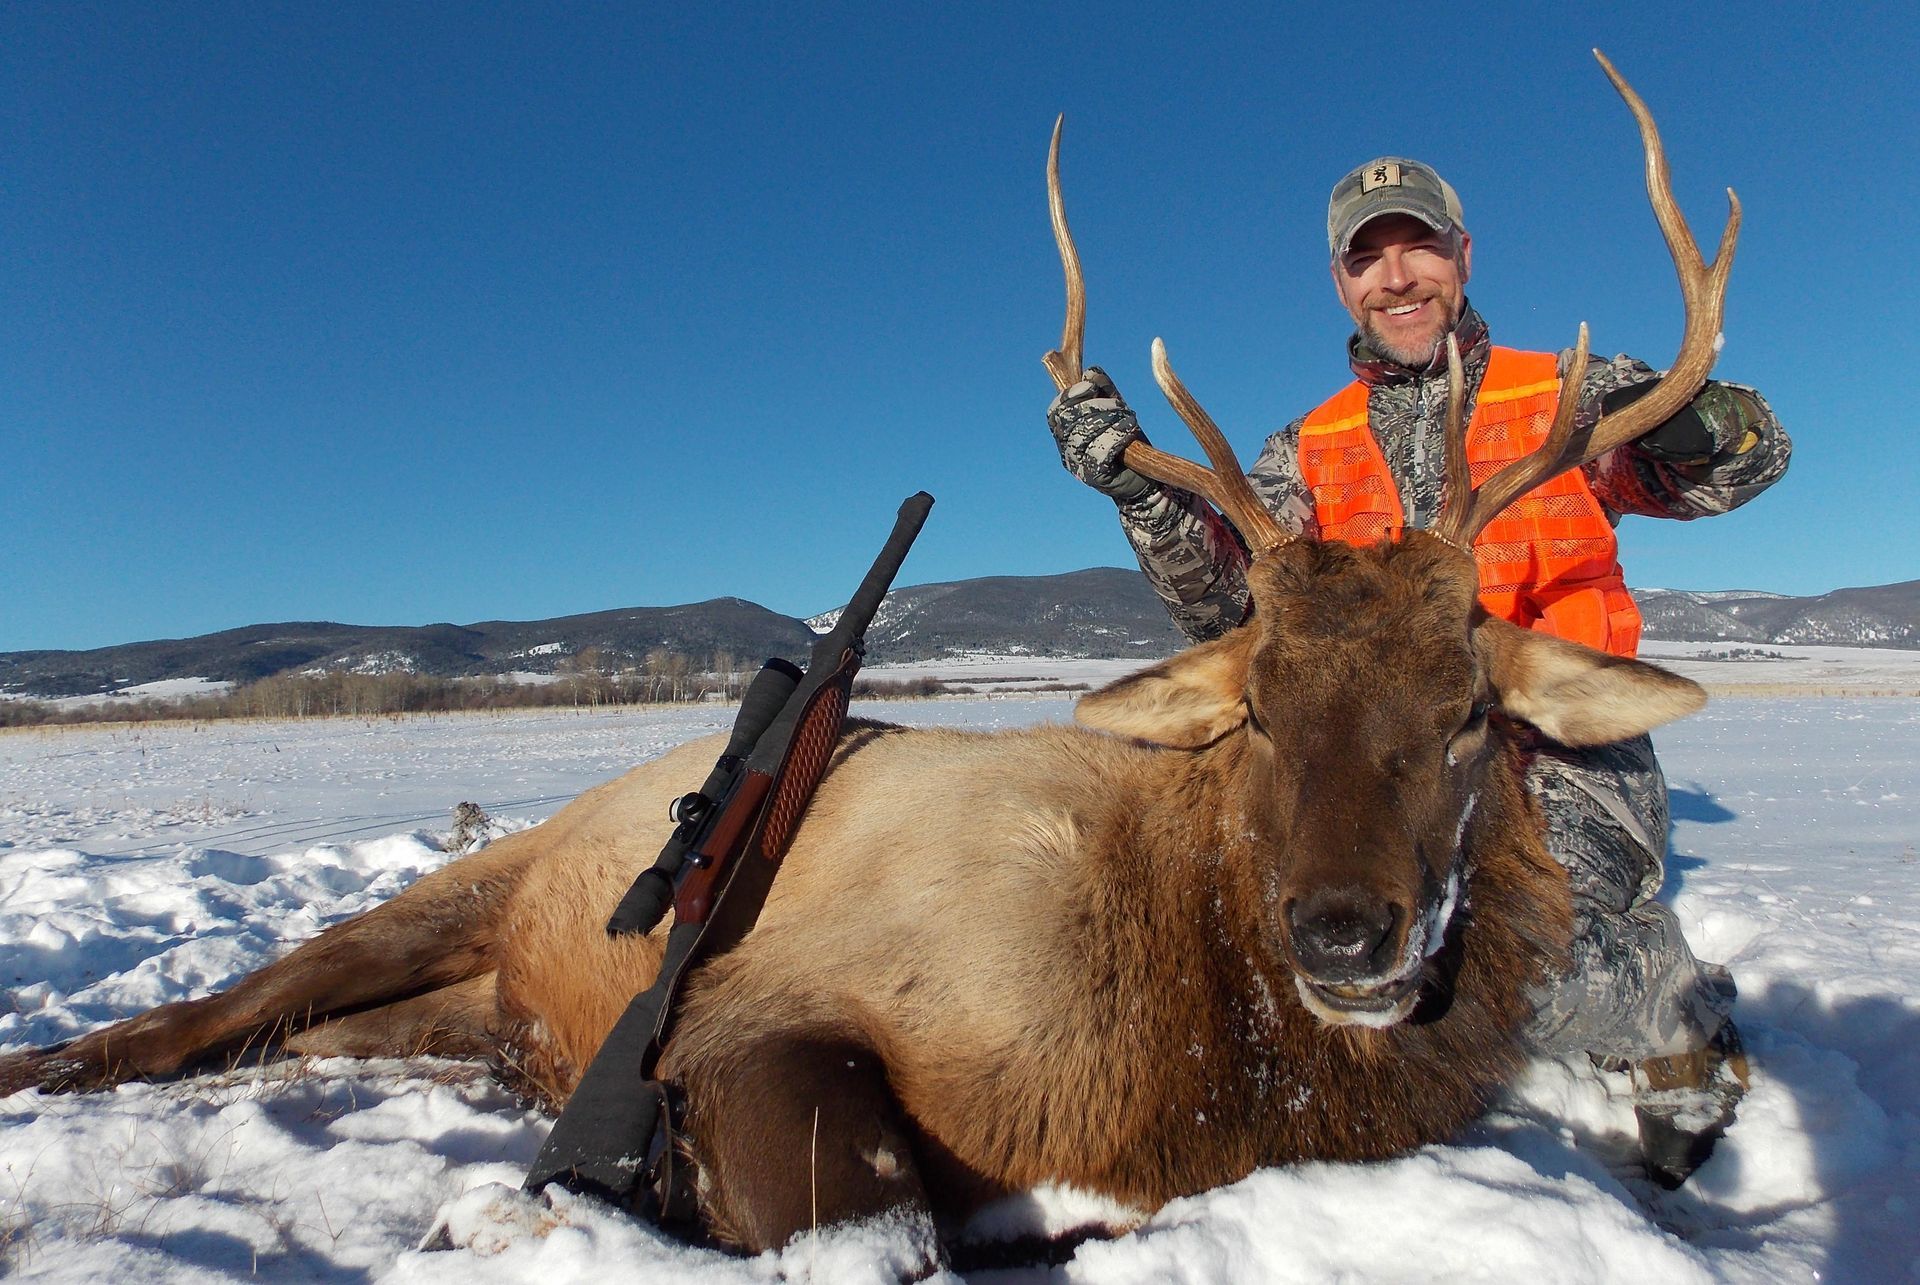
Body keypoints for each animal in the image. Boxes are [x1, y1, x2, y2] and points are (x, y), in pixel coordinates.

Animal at [1, 53, 1731, 1266]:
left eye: (1468, 713)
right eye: (1253, 708)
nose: (1346, 928)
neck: (1195, 1063)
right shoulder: (762, 1014)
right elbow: (885, 1220)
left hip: (471, 1001)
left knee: (300, 1038)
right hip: (476, 888)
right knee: (201, 1015)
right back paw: (45, 1060)